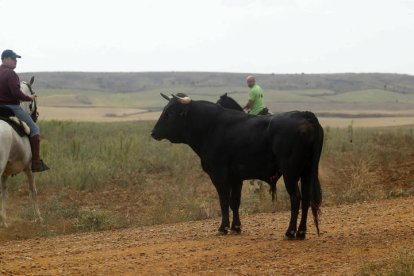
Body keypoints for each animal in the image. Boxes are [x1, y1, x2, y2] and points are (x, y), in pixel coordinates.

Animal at [0, 76, 42, 226]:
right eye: (33, 94)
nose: (36, 115)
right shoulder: (29, 168)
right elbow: (33, 190)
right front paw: (38, 217)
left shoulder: (5, 173)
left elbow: (4, 193)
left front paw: (4, 220)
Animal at [152, 93, 324, 239]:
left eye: (169, 113)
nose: (153, 133)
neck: (210, 127)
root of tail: (304, 114)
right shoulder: (236, 178)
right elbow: (234, 201)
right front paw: (236, 227)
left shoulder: (219, 175)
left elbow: (224, 201)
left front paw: (223, 228)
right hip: (307, 172)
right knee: (306, 199)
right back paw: (301, 232)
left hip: (291, 172)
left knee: (296, 198)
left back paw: (290, 232)